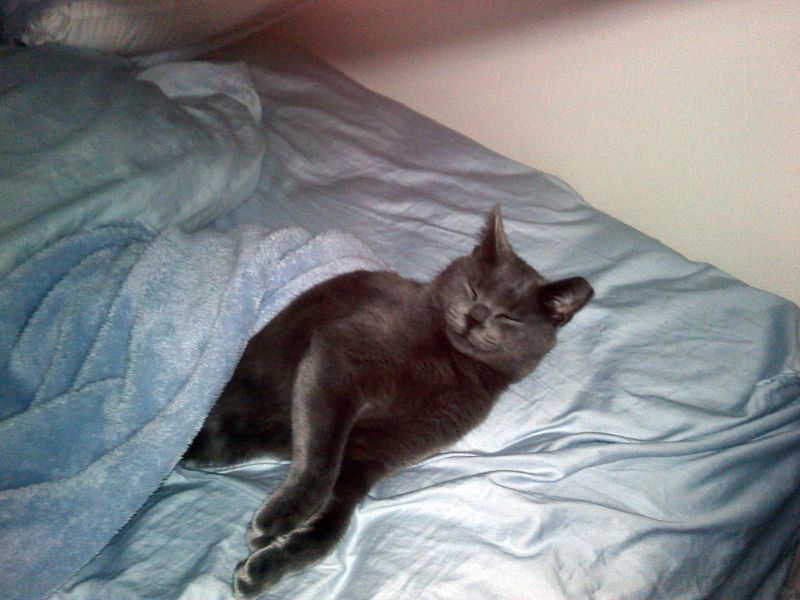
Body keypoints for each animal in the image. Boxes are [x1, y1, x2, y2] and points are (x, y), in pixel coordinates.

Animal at [184, 205, 592, 596]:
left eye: (509, 317)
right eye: (473, 289)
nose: (476, 317)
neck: (453, 363)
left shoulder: (384, 448)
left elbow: (333, 524)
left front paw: (265, 567)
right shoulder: (341, 357)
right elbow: (321, 461)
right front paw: (279, 519)